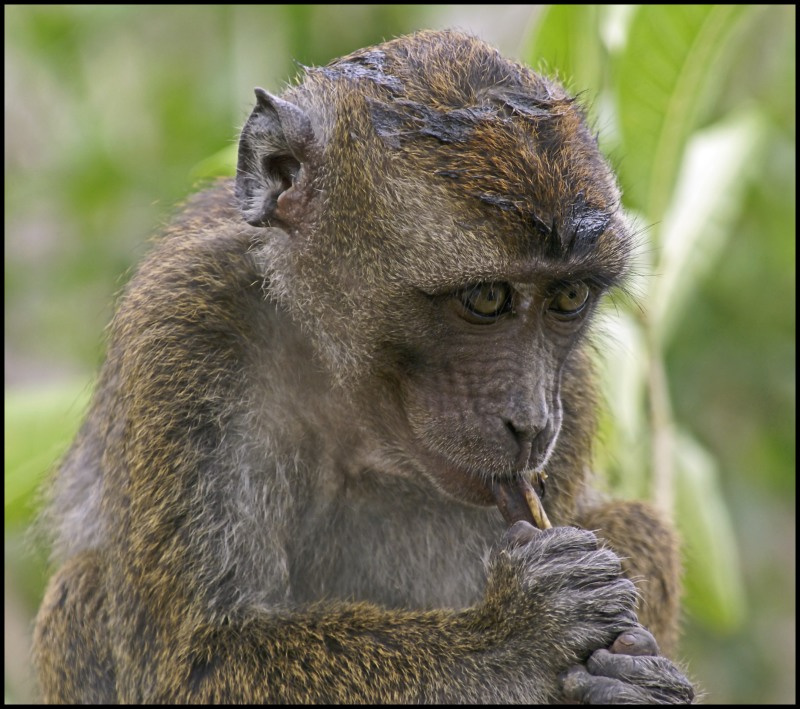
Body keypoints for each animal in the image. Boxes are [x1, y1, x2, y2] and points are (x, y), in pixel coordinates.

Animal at [32, 30, 695, 703]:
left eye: (569, 297)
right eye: (487, 298)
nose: (533, 423)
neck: (346, 382)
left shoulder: (573, 392)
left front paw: (631, 676)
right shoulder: (185, 326)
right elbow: (193, 660)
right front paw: (521, 633)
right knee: (84, 588)